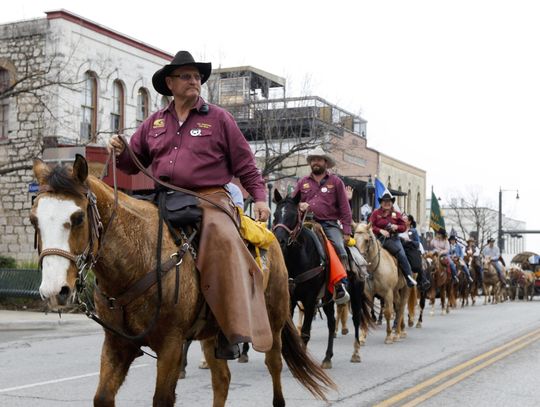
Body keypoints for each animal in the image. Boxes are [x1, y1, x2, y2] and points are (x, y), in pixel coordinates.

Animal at [30, 155, 334, 406]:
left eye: (78, 217)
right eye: (34, 220)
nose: (55, 290)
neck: (138, 260)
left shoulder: (171, 345)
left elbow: (162, 399)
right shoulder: (117, 344)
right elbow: (103, 397)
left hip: (272, 322)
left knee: (275, 367)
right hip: (214, 332)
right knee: (222, 380)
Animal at [272, 190, 374, 366]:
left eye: (294, 215)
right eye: (275, 214)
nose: (280, 240)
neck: (299, 256)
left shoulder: (310, 299)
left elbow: (305, 332)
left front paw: (303, 361)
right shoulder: (291, 298)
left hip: (355, 295)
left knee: (356, 320)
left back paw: (356, 353)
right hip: (328, 298)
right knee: (331, 323)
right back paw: (327, 357)